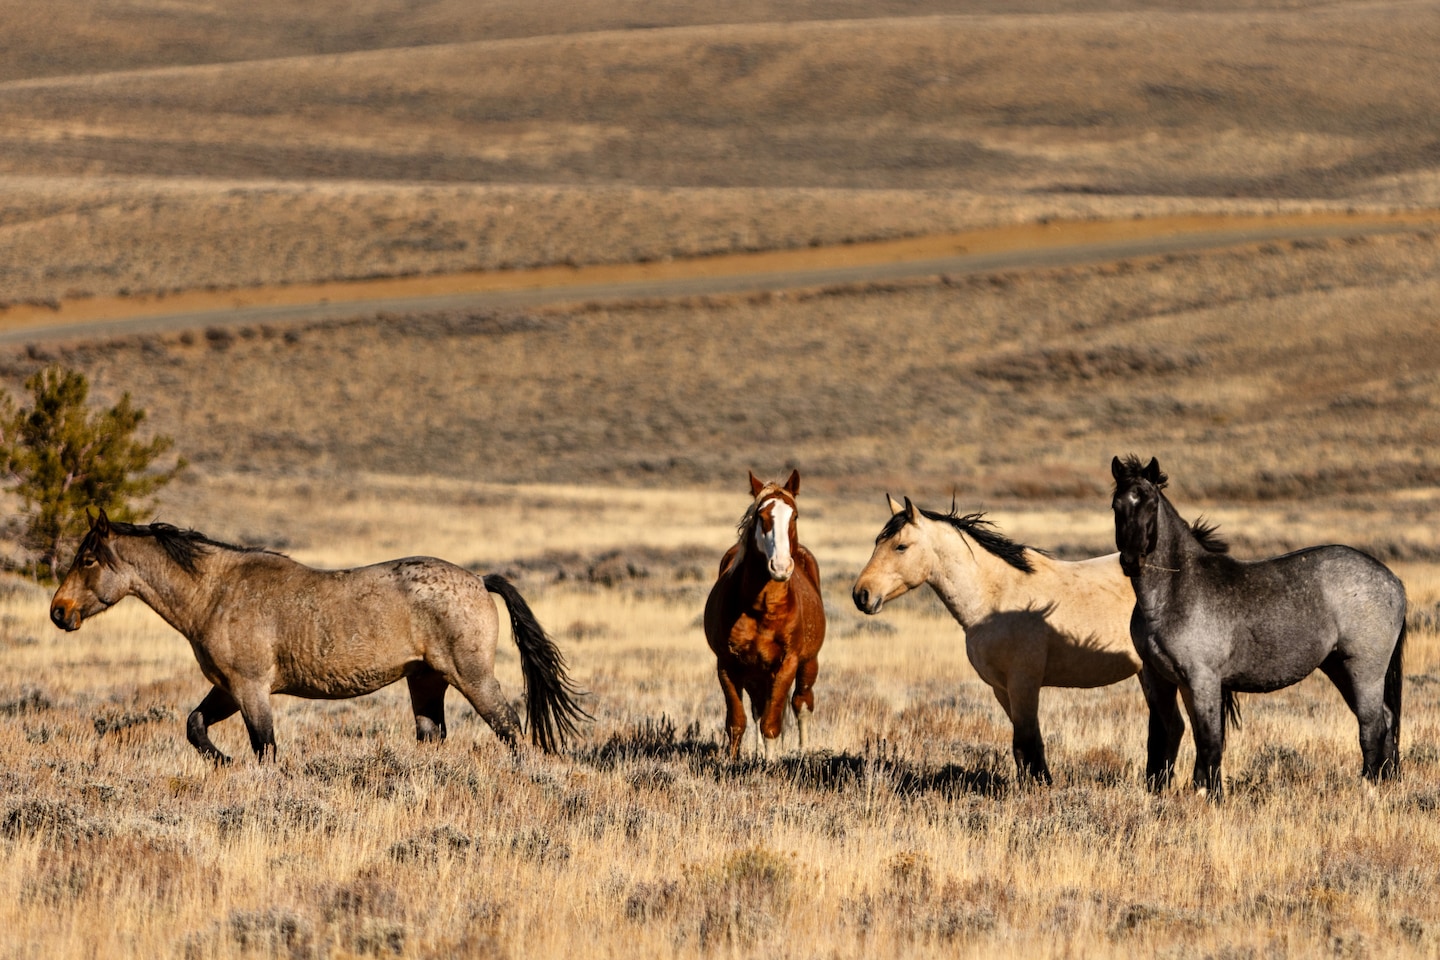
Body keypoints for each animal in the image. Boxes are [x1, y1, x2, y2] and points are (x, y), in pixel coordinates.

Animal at [50, 509, 587, 765]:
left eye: (88, 559)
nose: (59, 612)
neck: (217, 590)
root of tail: (478, 579)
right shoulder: (227, 689)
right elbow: (195, 726)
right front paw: (223, 763)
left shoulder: (251, 690)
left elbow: (264, 748)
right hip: (425, 680)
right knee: (434, 736)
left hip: (471, 676)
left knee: (510, 729)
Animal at [702, 469, 829, 759]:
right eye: (761, 517)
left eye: (794, 516)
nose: (780, 567)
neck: (763, 608)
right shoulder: (727, 664)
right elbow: (737, 722)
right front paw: (733, 762)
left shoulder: (788, 663)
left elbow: (772, 724)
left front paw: (770, 763)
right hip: (756, 673)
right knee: (759, 709)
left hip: (808, 664)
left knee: (801, 703)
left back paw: (803, 751)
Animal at [846, 492, 1140, 782]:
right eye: (877, 541)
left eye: (901, 546)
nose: (862, 594)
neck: (996, 598)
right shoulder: (1001, 688)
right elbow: (1024, 746)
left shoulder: (1023, 683)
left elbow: (1027, 743)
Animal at [1111, 457, 1405, 794]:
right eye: (1117, 505)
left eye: (1150, 503)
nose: (1131, 561)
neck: (1173, 592)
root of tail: (1392, 580)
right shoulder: (1160, 677)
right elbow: (1162, 737)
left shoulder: (1203, 679)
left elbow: (1210, 741)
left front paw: (1211, 795)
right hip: (1338, 667)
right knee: (1387, 720)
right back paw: (1388, 782)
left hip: (1364, 669)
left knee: (1372, 727)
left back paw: (1370, 788)